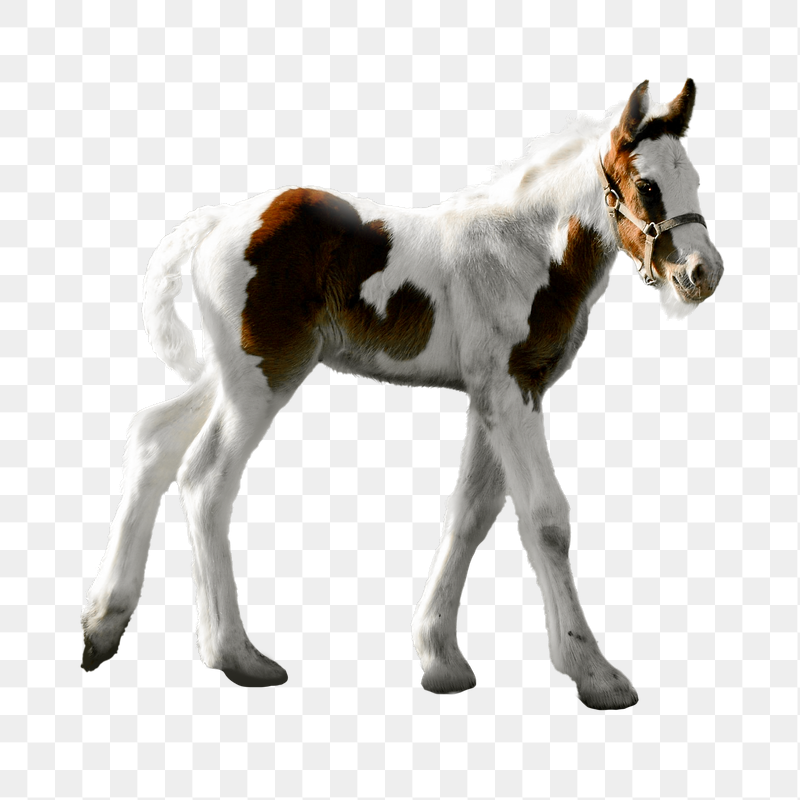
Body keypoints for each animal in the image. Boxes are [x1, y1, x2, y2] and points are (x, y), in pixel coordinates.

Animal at [82, 80, 723, 709]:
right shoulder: (509, 389)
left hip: (233, 370)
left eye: (693, 179)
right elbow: (545, 518)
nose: (703, 273)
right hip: (261, 376)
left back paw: (102, 624)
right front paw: (593, 672)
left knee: (153, 439)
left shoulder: (494, 394)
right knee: (206, 477)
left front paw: (440, 659)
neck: (524, 248)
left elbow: (471, 512)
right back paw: (236, 655)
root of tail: (215, 220)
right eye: (647, 184)